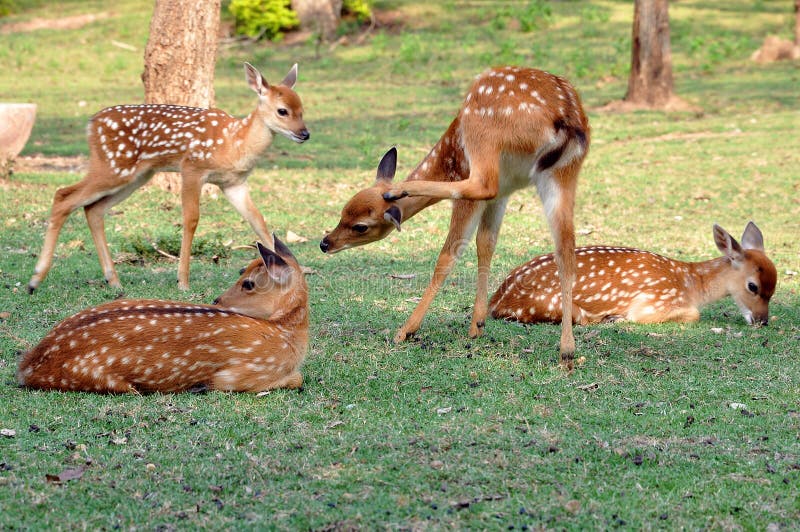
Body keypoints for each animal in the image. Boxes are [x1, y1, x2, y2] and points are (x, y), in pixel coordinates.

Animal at [16, 235, 310, 392]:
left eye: (248, 283)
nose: (217, 300)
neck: (285, 334)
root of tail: (27, 366)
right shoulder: (243, 373)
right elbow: (297, 378)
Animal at [28, 65, 310, 296]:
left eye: (302, 109)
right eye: (282, 111)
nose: (304, 133)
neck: (235, 143)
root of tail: (90, 125)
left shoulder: (233, 183)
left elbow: (258, 222)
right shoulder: (192, 167)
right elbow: (191, 219)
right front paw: (182, 281)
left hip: (136, 175)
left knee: (93, 209)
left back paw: (113, 280)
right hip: (113, 165)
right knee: (64, 196)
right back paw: (35, 279)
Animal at [318, 64, 588, 368]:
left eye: (361, 226)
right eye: (343, 211)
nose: (325, 243)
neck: (447, 160)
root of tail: (566, 118)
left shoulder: (476, 183)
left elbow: (450, 254)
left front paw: (407, 331)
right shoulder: (504, 193)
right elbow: (486, 242)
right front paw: (477, 325)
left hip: (483, 135)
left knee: (480, 185)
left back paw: (400, 191)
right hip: (563, 173)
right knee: (566, 249)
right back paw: (567, 349)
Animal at [490, 222, 780, 326]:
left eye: (773, 290)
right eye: (753, 286)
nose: (763, 321)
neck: (691, 284)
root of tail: (497, 301)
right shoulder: (655, 301)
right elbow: (693, 315)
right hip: (558, 305)